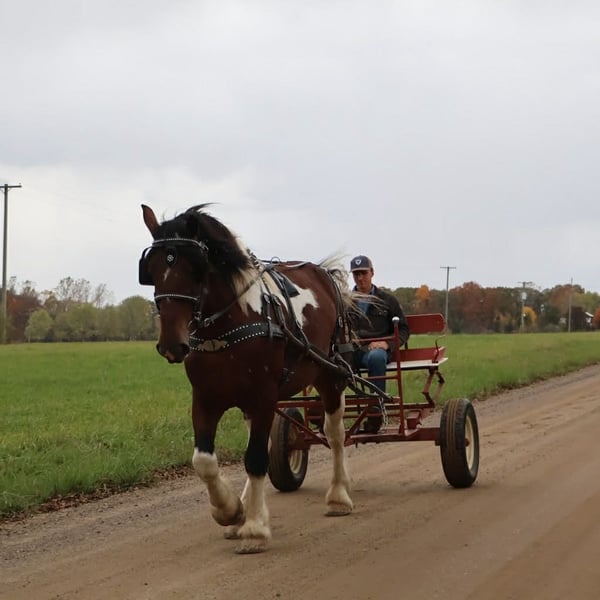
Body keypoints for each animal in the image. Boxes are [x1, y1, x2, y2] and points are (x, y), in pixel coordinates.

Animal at [139, 204, 355, 553]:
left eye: (196, 268)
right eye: (152, 270)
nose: (172, 344)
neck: (230, 323)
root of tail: (324, 273)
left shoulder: (264, 396)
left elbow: (254, 459)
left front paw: (254, 529)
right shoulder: (205, 399)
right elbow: (204, 461)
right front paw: (231, 512)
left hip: (330, 376)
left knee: (334, 435)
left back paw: (338, 496)